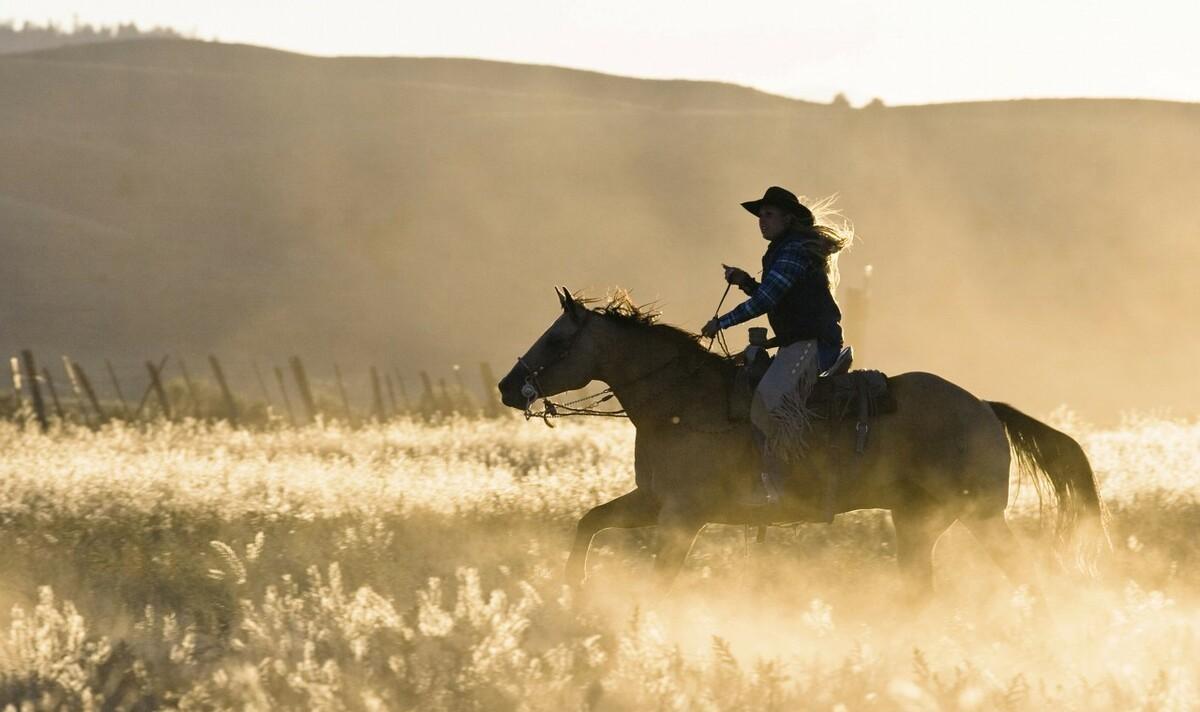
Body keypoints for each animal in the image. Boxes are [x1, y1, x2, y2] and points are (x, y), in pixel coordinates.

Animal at [496, 288, 1104, 600]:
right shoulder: (652, 503)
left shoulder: (682, 516)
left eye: (557, 338)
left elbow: (661, 578)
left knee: (1021, 569)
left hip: (976, 515)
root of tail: (984, 408)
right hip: (916, 520)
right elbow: (588, 524)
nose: (507, 385)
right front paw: (574, 588)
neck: (682, 402)